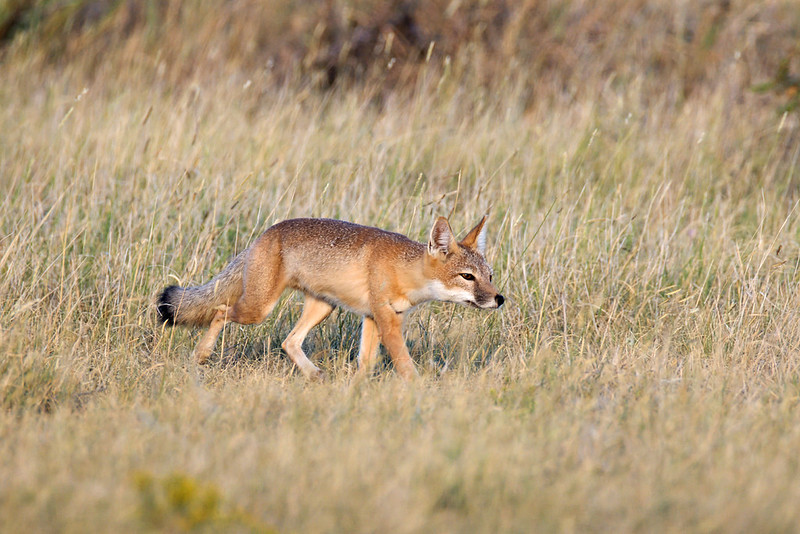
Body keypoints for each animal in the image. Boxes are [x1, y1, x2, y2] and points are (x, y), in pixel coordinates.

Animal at [156, 216, 504, 380]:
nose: (499, 299)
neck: (404, 270)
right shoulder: (386, 320)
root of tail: (265, 234)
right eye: (467, 277)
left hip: (322, 308)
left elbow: (366, 362)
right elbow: (404, 364)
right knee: (219, 309)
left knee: (289, 341)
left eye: (489, 276)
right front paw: (420, 389)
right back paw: (201, 355)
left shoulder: (374, 317)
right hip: (258, 309)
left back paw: (314, 375)